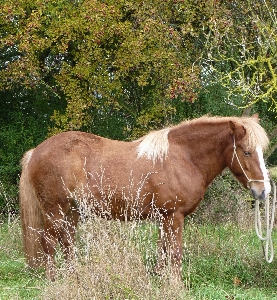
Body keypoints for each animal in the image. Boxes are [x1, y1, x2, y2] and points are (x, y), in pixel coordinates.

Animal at [19, 115, 270, 278]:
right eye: (247, 152)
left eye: (261, 151)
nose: (264, 191)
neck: (182, 157)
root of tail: (36, 152)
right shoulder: (174, 216)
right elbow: (175, 252)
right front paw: (176, 284)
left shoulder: (164, 217)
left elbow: (163, 250)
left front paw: (160, 278)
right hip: (55, 211)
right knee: (49, 243)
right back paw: (54, 280)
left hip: (72, 211)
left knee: (67, 243)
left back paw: (74, 277)